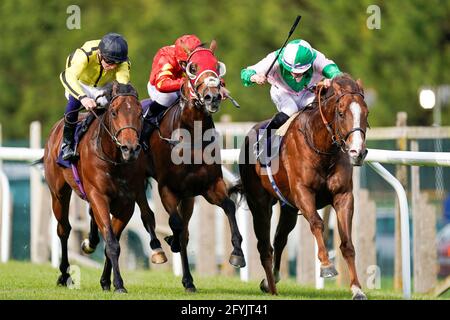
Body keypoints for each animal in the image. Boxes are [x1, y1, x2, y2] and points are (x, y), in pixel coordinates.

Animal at [43, 82, 166, 292]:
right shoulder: (98, 195)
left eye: (140, 113)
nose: (130, 149)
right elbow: (111, 242)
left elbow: (113, 240)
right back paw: (65, 275)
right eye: (114, 113)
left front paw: (107, 281)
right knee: (63, 229)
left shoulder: (126, 203)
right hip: (58, 193)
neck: (114, 159)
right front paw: (119, 284)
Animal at [136, 40, 246, 292]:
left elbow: (228, 207)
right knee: (146, 214)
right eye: (193, 67)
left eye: (216, 66)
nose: (212, 97)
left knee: (184, 230)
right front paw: (171, 240)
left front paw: (237, 253)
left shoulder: (209, 186)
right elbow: (175, 224)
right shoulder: (167, 189)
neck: (191, 135)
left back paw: (188, 280)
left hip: (188, 198)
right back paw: (158, 248)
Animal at [232, 74, 370, 298]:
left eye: (366, 113)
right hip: (259, 204)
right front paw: (326, 266)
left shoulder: (343, 196)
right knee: (264, 247)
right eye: (341, 113)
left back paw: (272, 279)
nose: (357, 152)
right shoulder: (303, 193)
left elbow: (347, 243)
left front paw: (357, 288)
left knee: (280, 239)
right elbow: (317, 223)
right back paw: (271, 287)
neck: (321, 147)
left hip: (288, 208)